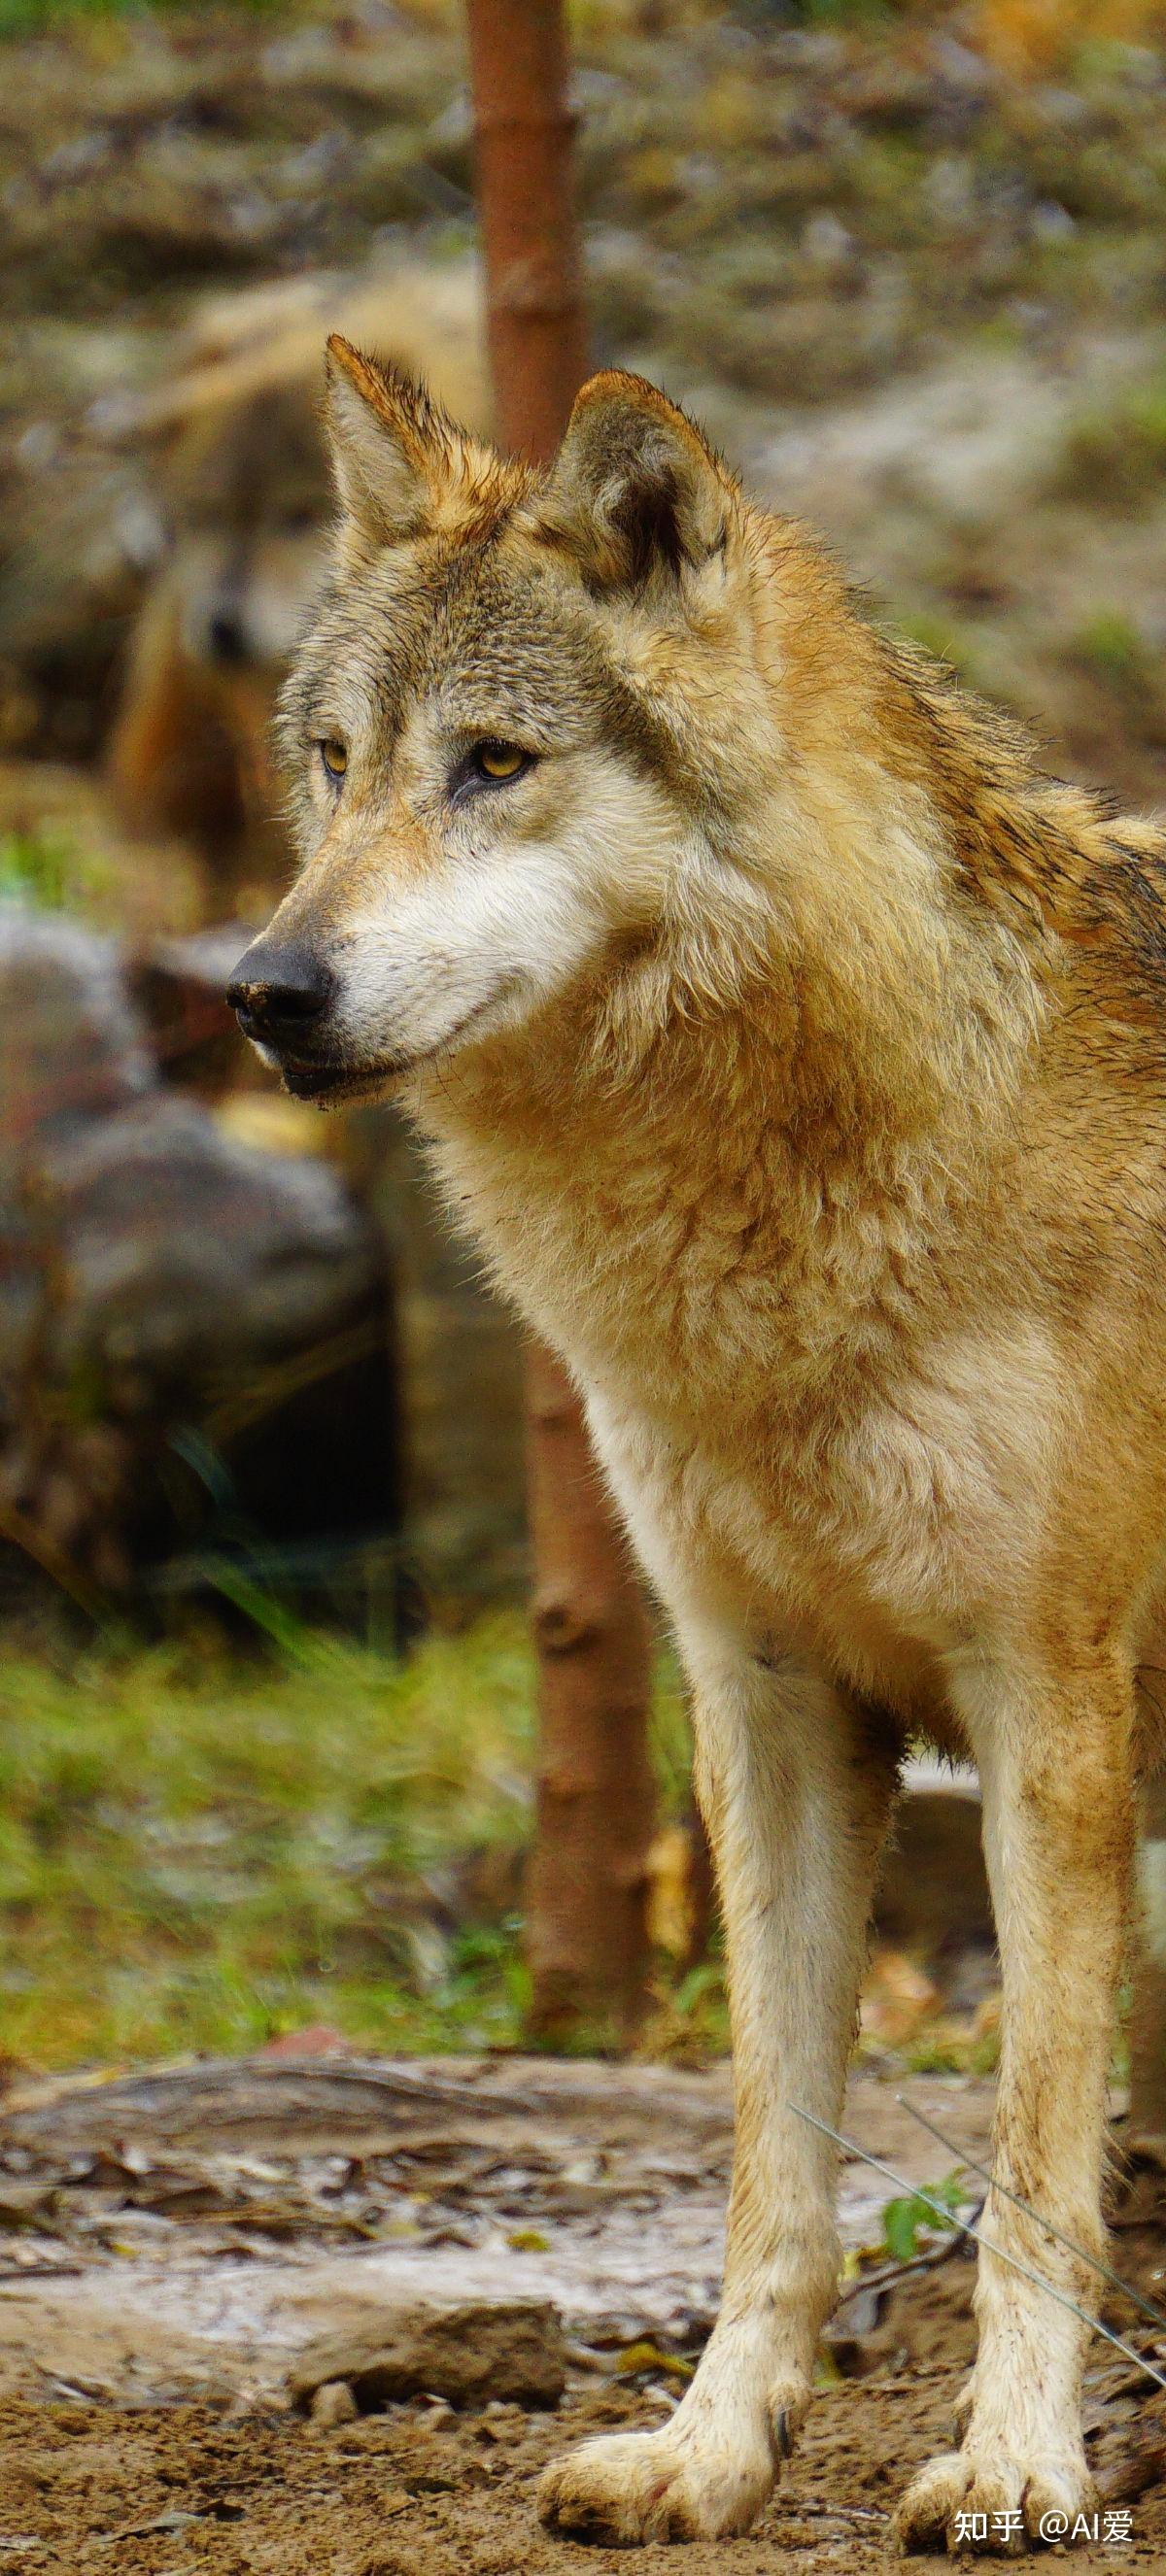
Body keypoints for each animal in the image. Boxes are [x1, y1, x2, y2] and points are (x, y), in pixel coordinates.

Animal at [227, 348, 1166, 2555]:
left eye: (494, 764)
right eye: (334, 761)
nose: (264, 990)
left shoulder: (1050, 1711)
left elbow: (1032, 2166)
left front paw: (1017, 2465)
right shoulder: (766, 1702)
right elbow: (768, 2164)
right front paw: (714, 2453)